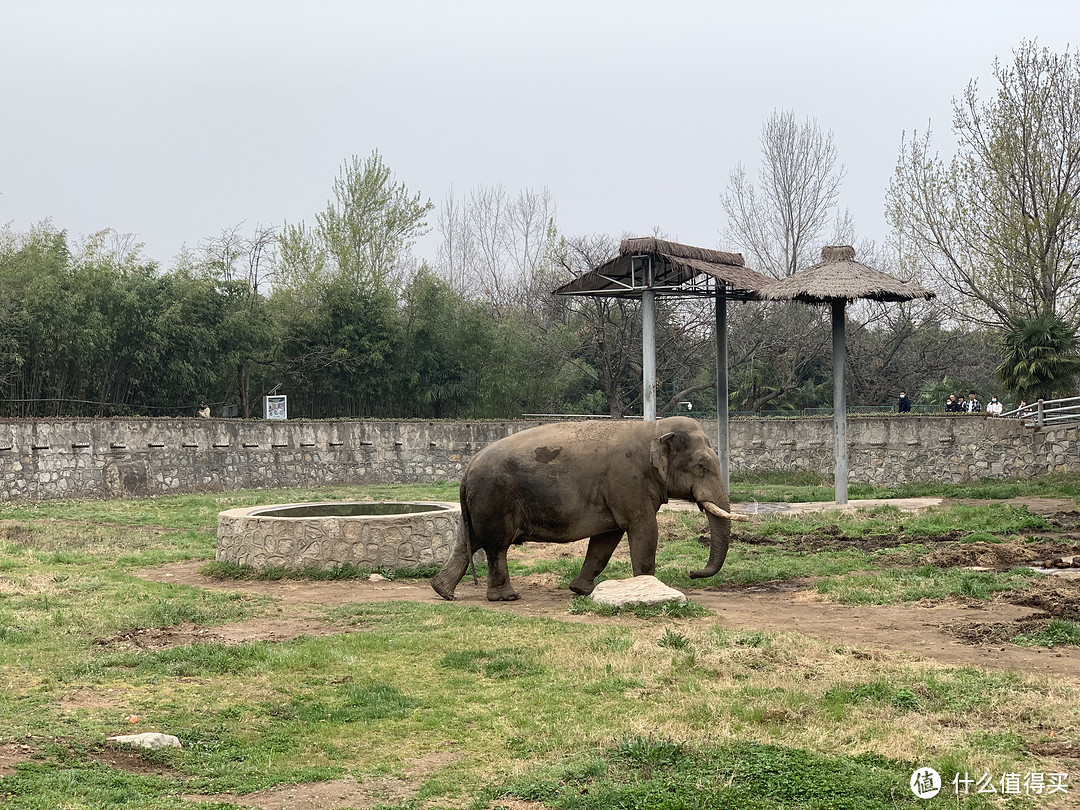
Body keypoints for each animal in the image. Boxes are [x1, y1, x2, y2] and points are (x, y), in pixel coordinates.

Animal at [427, 419, 743, 604]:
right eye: (701, 467)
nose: (692, 573)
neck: (653, 428)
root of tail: (468, 466)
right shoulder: (627, 479)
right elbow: (642, 528)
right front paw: (650, 586)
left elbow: (607, 538)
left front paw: (581, 591)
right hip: (494, 498)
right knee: (496, 545)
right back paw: (506, 597)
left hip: (479, 504)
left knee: (467, 541)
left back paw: (443, 591)